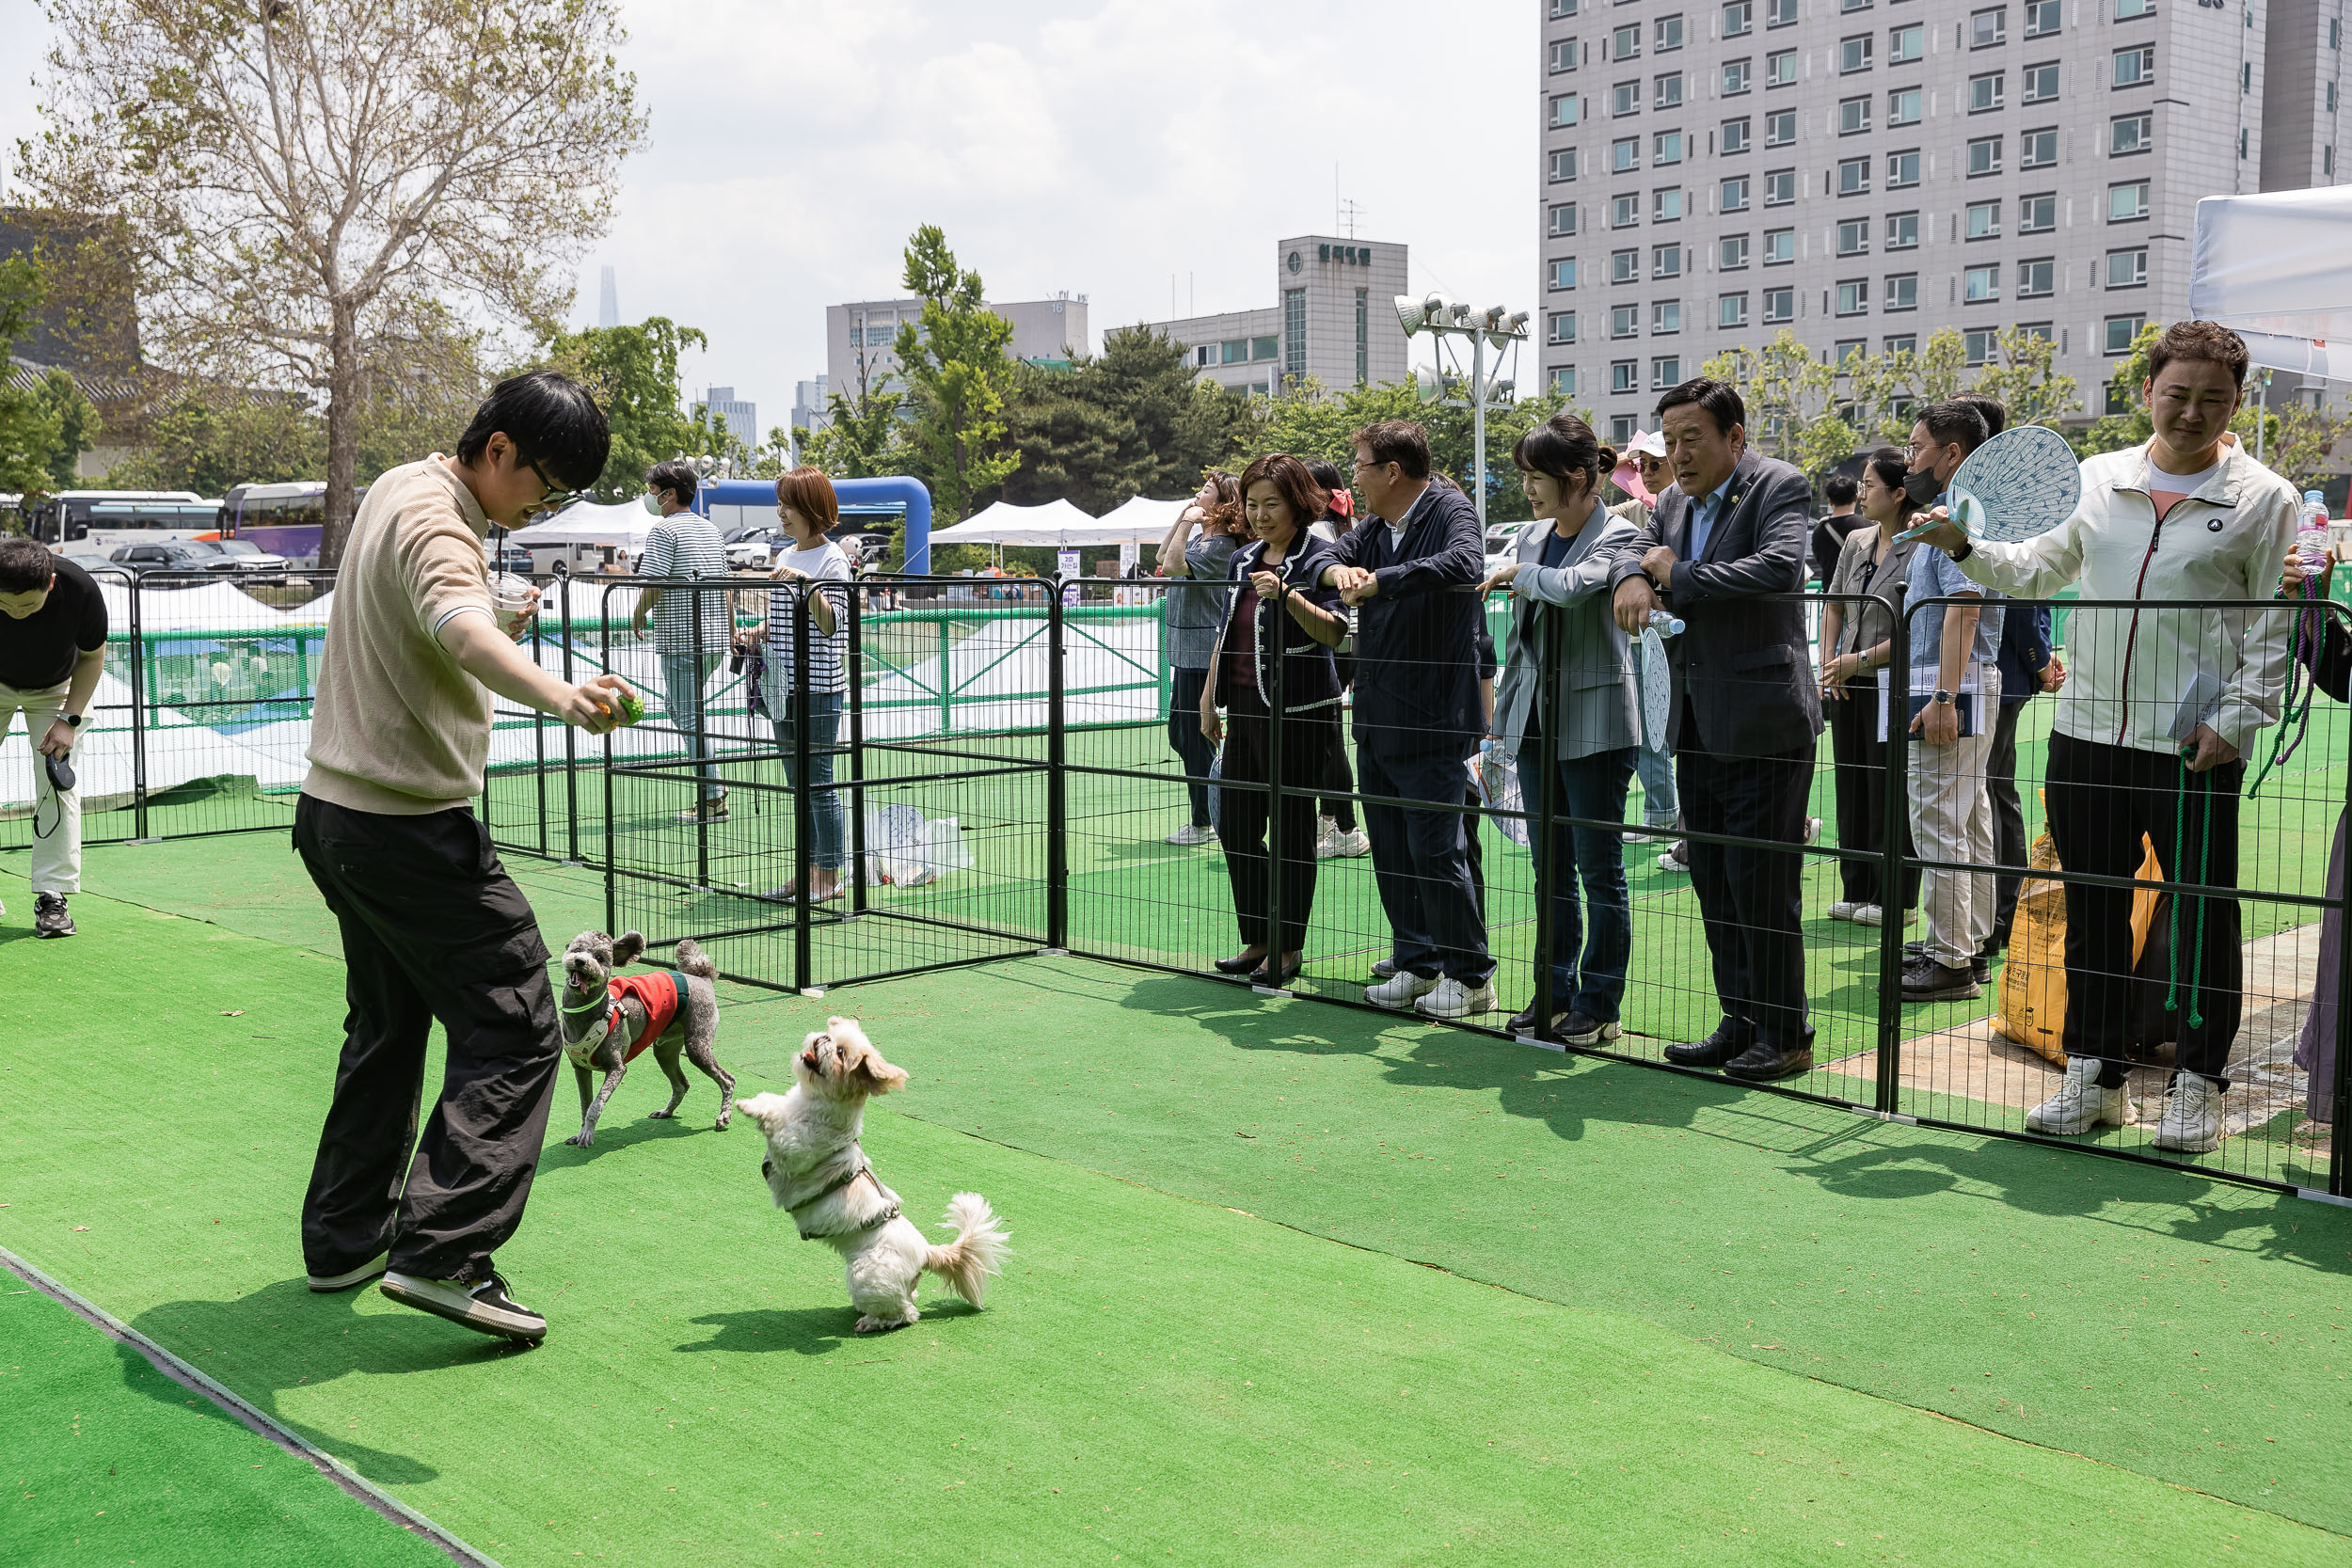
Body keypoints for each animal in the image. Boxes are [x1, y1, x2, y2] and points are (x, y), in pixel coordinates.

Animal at [734, 1020, 1011, 1335]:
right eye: (831, 1035)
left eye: (840, 1052)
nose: (823, 1038)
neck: (810, 1103)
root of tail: (926, 1252)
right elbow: (772, 1102)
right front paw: (751, 1101)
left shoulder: (798, 1145)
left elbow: (778, 1124)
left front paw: (748, 1107)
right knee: (908, 1297)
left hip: (867, 1276)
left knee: (906, 1313)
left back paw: (870, 1321)